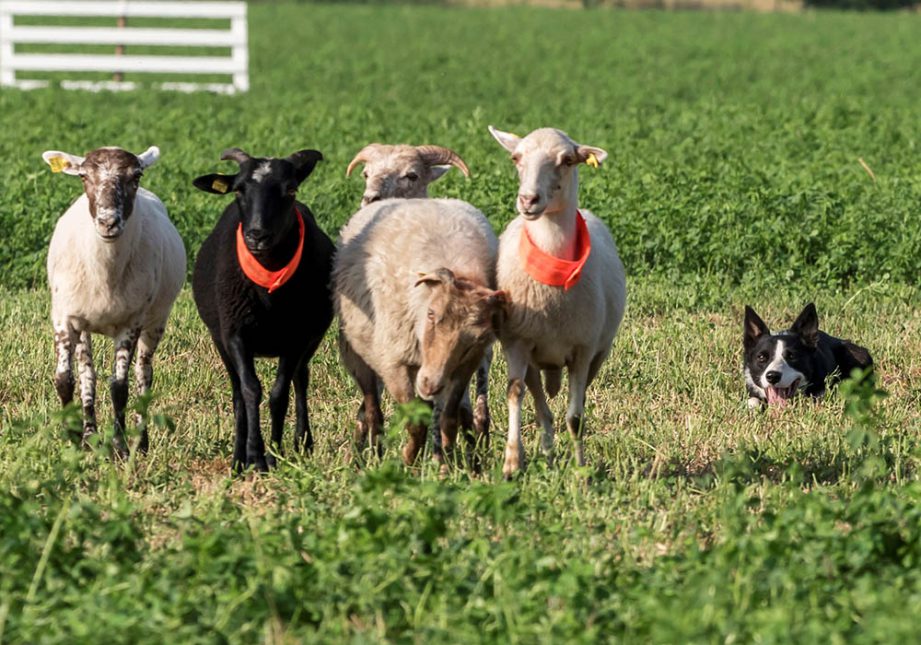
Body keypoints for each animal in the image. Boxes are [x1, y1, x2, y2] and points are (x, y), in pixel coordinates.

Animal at [42, 147, 185, 458]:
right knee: (88, 375)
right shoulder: (64, 316)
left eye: (136, 176)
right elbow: (65, 379)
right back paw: (90, 434)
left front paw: (120, 447)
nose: (108, 222)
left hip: (156, 320)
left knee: (144, 374)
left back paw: (141, 443)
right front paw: (74, 440)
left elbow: (120, 387)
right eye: (83, 176)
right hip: (84, 324)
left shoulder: (132, 321)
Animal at [191, 148, 334, 470]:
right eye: (238, 190)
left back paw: (302, 443)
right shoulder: (235, 334)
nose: (257, 235)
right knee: (237, 394)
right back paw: (237, 458)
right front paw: (254, 456)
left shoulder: (296, 336)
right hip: (220, 339)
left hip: (313, 337)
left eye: (290, 190)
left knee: (300, 378)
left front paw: (274, 453)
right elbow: (250, 390)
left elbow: (279, 394)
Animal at [488, 127, 624, 478]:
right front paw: (511, 463)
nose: (528, 200)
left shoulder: (583, 350)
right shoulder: (516, 342)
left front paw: (581, 470)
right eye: (516, 157)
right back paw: (547, 453)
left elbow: (575, 418)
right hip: (535, 357)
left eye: (567, 160)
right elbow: (514, 393)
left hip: (599, 352)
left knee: (577, 400)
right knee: (541, 407)